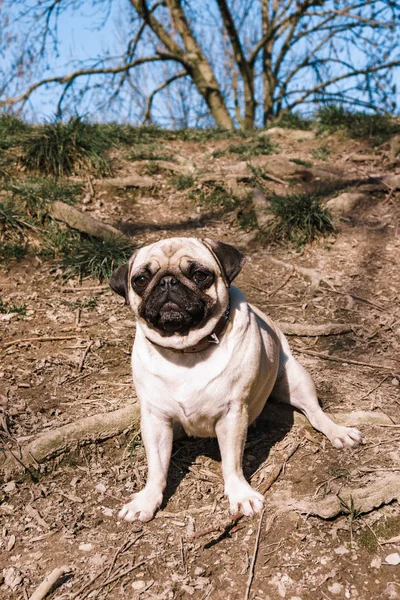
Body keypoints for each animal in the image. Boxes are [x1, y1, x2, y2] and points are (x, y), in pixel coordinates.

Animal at [109, 237, 362, 524]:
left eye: (199, 275)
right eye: (140, 280)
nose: (168, 281)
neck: (186, 351)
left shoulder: (232, 414)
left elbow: (232, 462)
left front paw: (240, 495)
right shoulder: (155, 419)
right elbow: (157, 466)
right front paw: (148, 498)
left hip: (296, 379)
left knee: (316, 414)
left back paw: (338, 432)